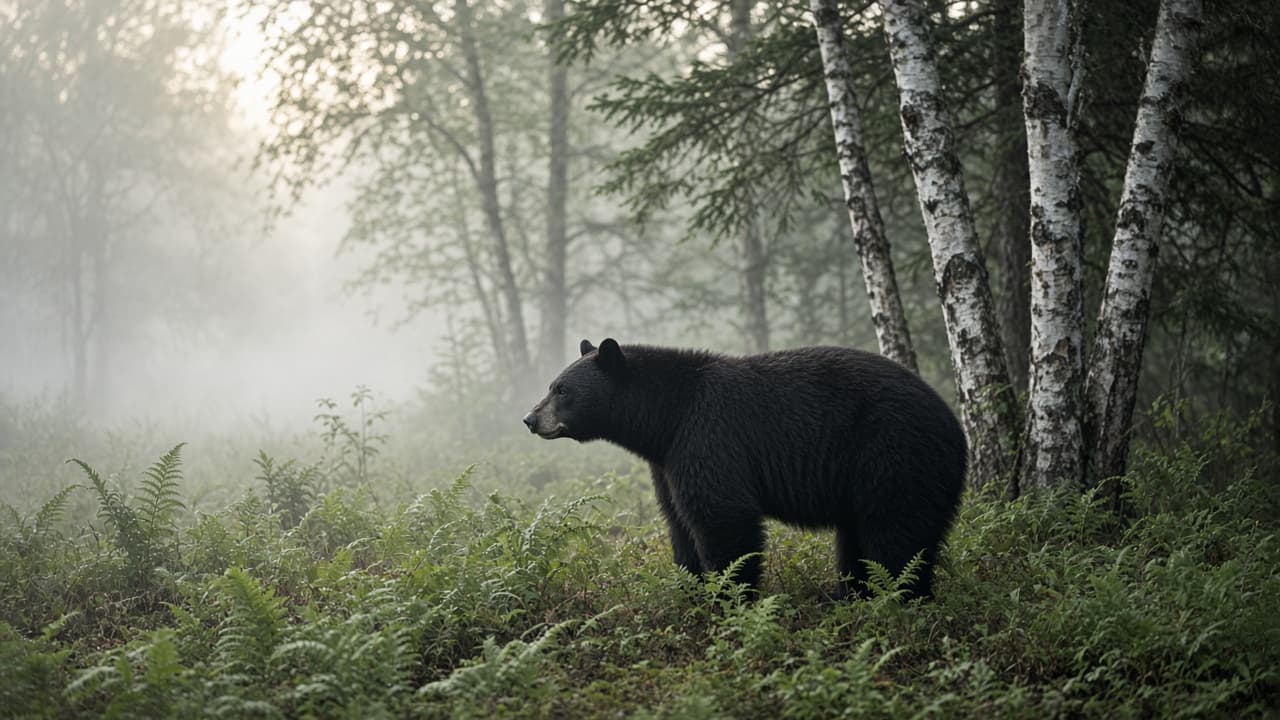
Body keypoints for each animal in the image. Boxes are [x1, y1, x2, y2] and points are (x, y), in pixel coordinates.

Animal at [522, 338, 967, 599]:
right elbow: (678, 521)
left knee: (896, 535)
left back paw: (897, 597)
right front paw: (692, 591)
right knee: (861, 538)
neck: (667, 416)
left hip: (893, 456)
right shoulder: (667, 461)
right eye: (551, 386)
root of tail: (955, 426)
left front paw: (729, 597)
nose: (529, 418)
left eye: (561, 390)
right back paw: (852, 595)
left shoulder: (709, 436)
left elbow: (722, 516)